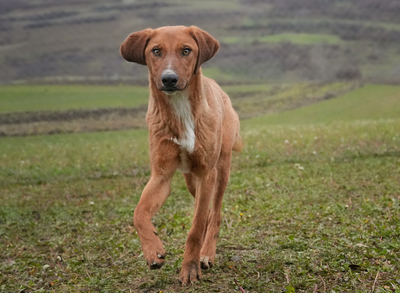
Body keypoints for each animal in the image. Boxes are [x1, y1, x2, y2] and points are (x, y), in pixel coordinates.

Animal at [120, 25, 242, 286]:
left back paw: (207, 253)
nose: (169, 79)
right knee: (206, 211)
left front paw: (190, 268)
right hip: (190, 181)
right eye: (156, 51)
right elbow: (139, 213)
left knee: (214, 213)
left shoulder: (206, 173)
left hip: (221, 170)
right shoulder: (161, 175)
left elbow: (195, 229)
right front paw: (152, 250)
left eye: (186, 50)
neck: (181, 109)